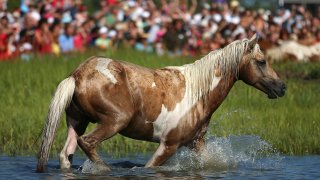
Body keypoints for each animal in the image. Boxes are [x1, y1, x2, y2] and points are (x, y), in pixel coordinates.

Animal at [36, 34, 286, 173]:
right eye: (261, 62)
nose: (281, 87)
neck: (198, 93)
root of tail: (77, 75)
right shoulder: (168, 145)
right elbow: (150, 167)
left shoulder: (195, 143)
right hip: (114, 122)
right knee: (87, 143)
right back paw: (105, 169)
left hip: (77, 122)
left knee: (66, 154)